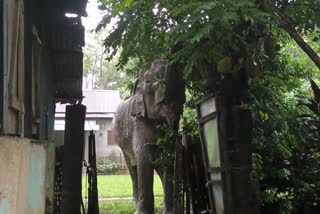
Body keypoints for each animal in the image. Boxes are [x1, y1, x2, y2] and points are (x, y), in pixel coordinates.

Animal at [112, 59, 185, 214]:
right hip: (121, 143)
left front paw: (170, 212)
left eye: (182, 79)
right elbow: (144, 159)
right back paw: (134, 203)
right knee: (132, 168)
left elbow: (168, 158)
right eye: (148, 81)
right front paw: (141, 213)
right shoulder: (138, 122)